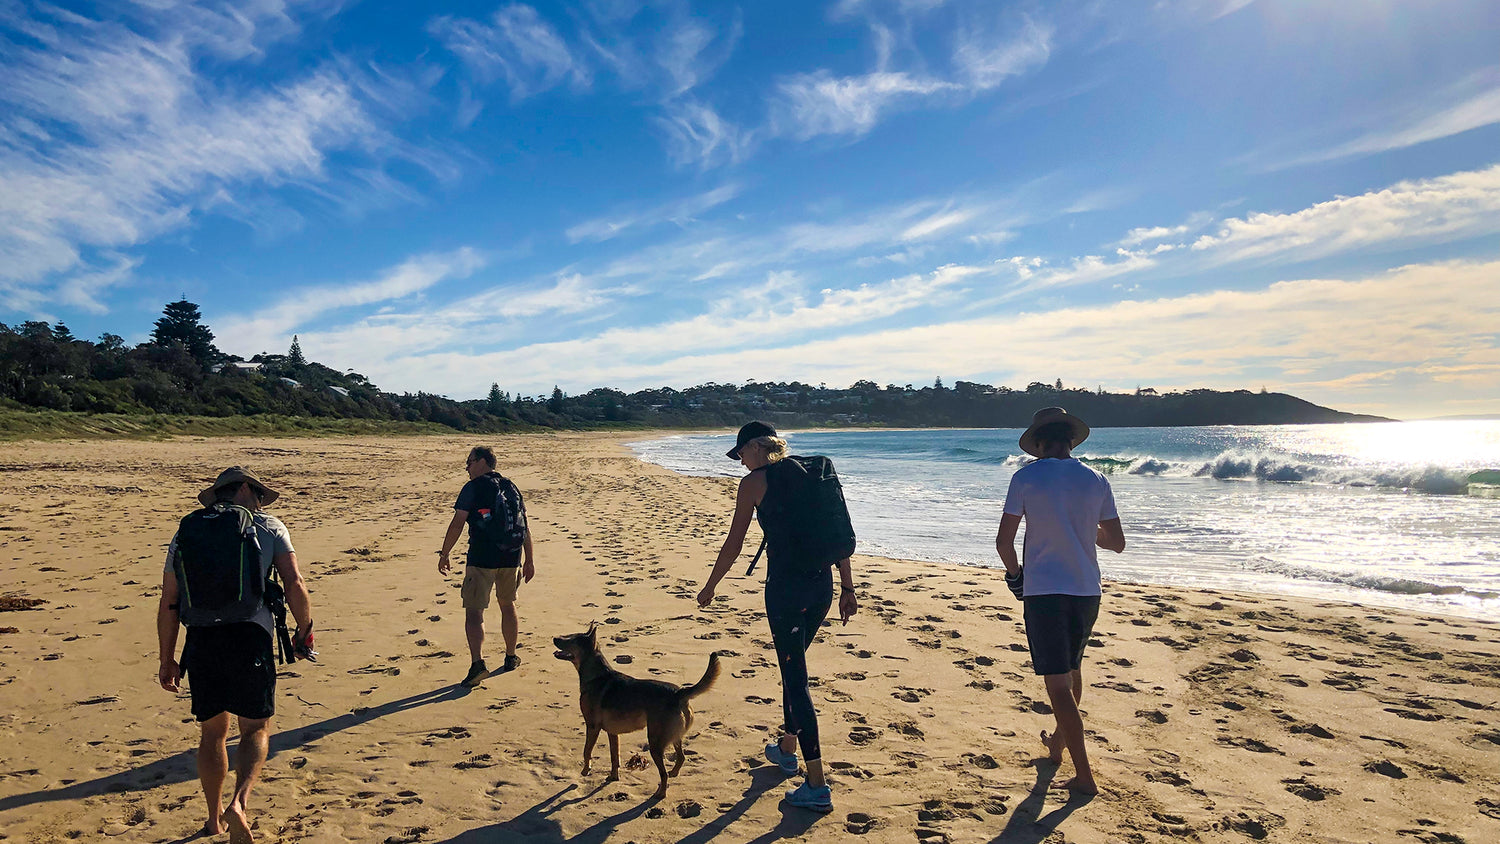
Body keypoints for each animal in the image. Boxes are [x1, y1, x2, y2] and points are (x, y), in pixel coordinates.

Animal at [552, 620, 720, 797]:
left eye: (571, 639)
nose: (554, 638)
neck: (597, 675)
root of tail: (679, 693)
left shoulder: (592, 726)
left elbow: (586, 751)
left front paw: (586, 770)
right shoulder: (613, 733)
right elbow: (615, 758)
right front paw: (613, 777)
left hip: (655, 742)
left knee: (663, 773)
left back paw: (660, 793)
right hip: (673, 737)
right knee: (680, 758)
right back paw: (674, 774)